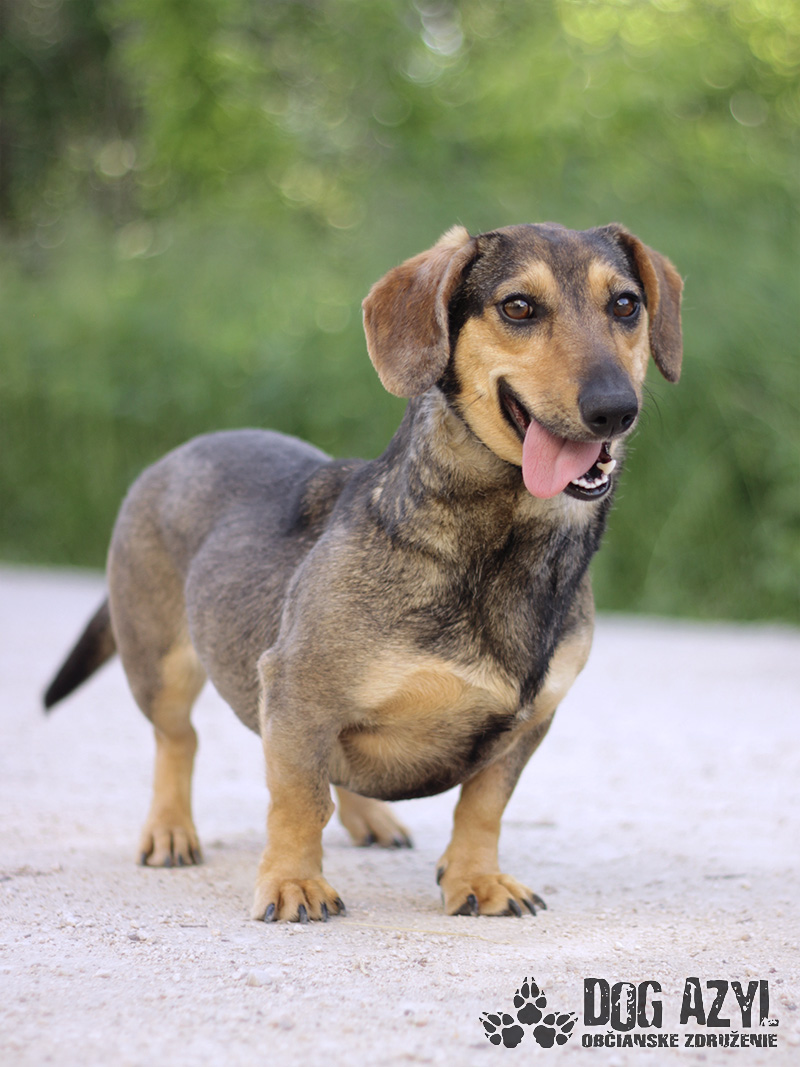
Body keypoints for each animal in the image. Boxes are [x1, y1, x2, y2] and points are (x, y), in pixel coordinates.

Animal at [44, 222, 683, 922]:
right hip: (160, 665)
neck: (504, 548)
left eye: (625, 305)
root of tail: (180, 451)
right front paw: (293, 882)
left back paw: (370, 818)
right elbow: (299, 801)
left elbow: (483, 807)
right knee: (178, 742)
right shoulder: (296, 689)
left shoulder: (528, 723)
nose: (614, 409)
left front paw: (477, 879)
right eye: (518, 307)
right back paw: (169, 829)